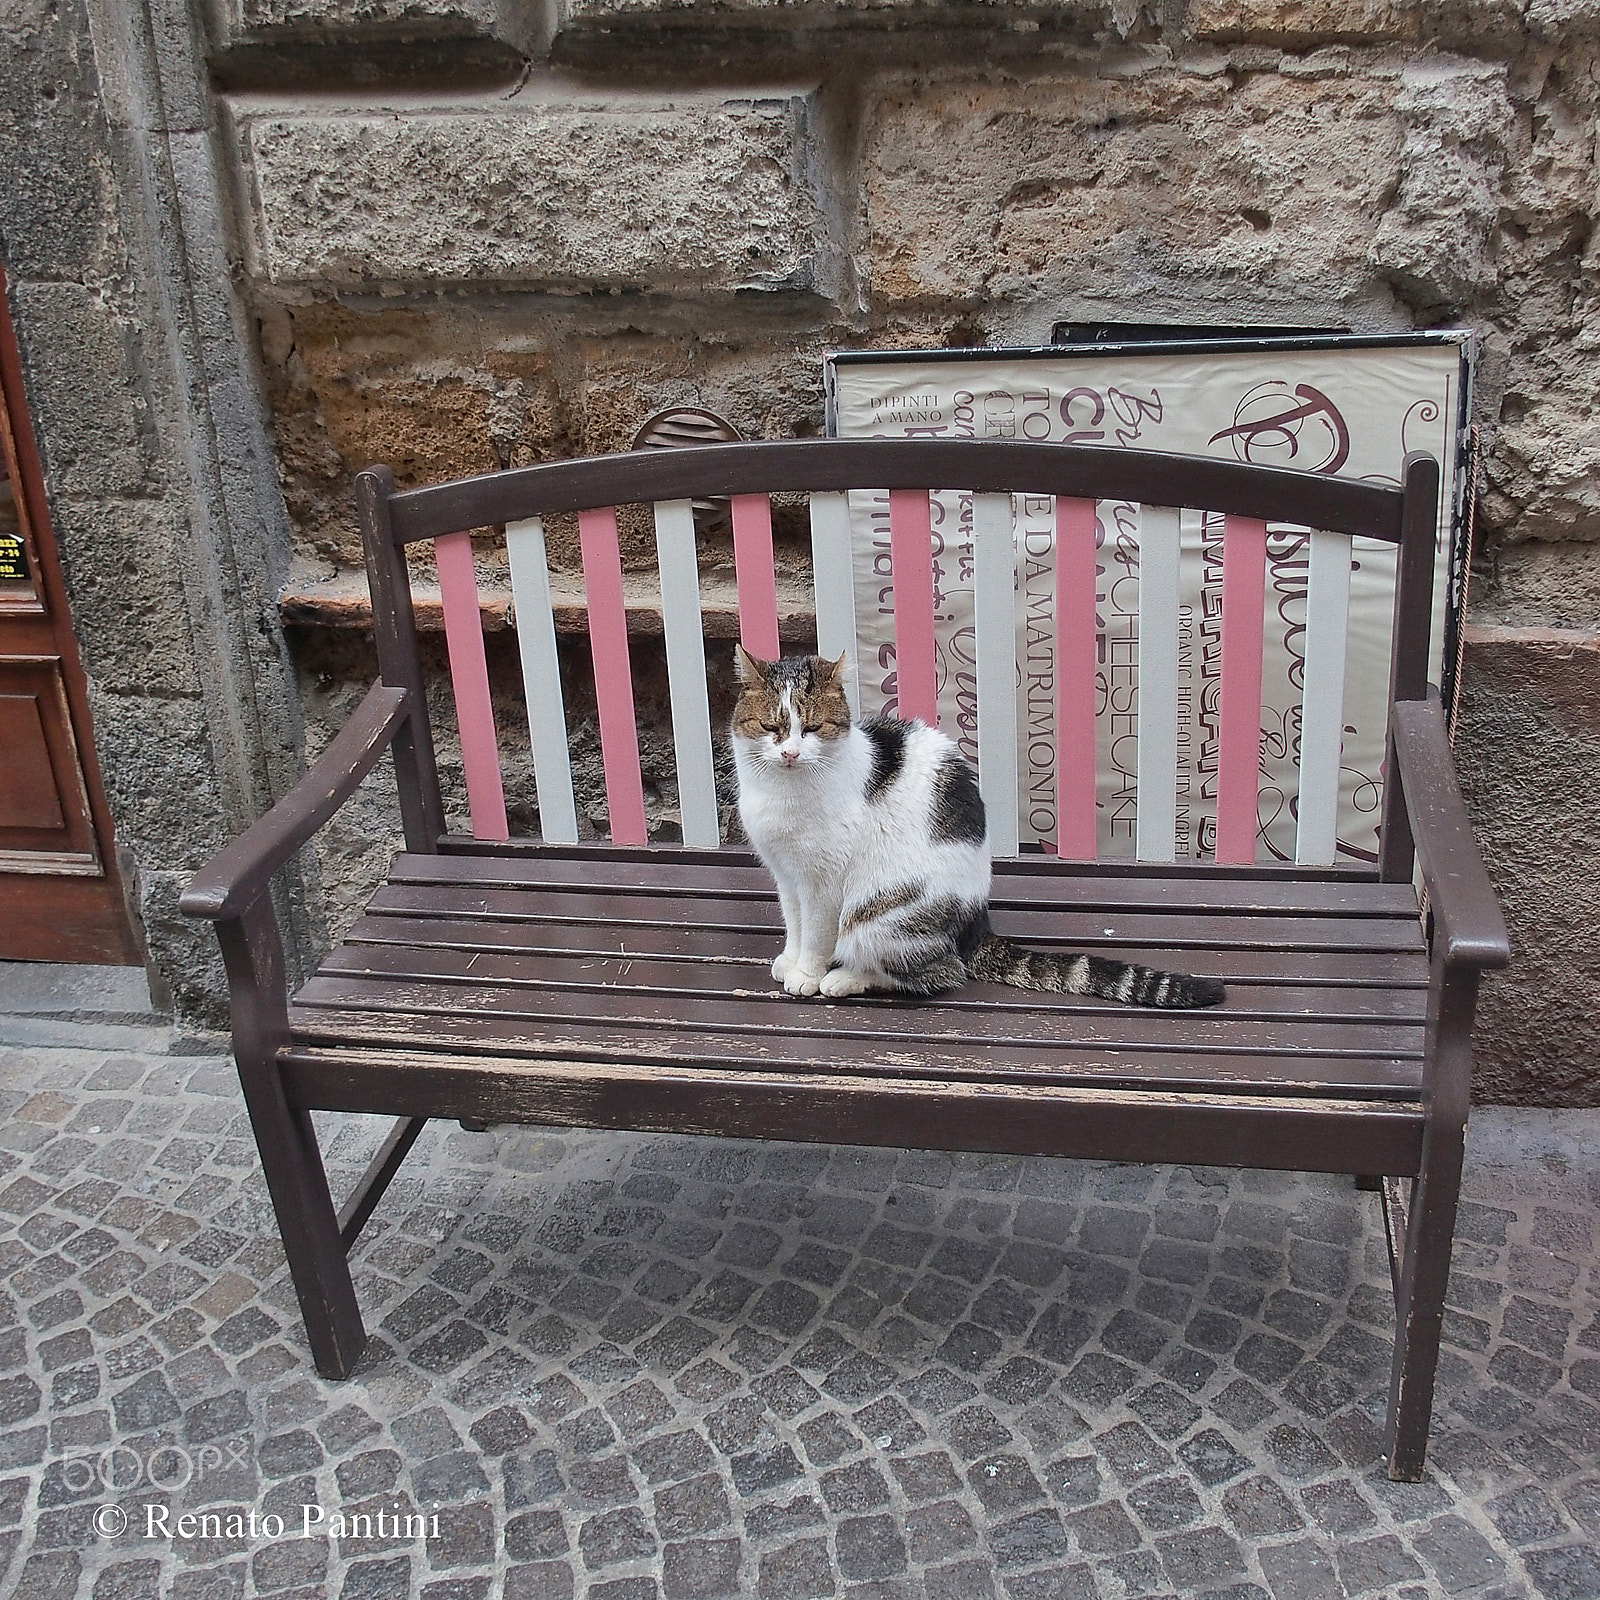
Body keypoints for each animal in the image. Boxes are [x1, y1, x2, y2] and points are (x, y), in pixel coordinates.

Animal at [732, 646, 1222, 998]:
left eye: (812, 728)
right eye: (771, 727)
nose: (791, 753)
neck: (782, 790)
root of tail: (976, 922)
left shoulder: (824, 883)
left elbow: (816, 934)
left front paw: (808, 973)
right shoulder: (787, 875)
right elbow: (794, 923)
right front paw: (790, 960)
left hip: (879, 911)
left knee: (942, 972)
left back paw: (846, 978)